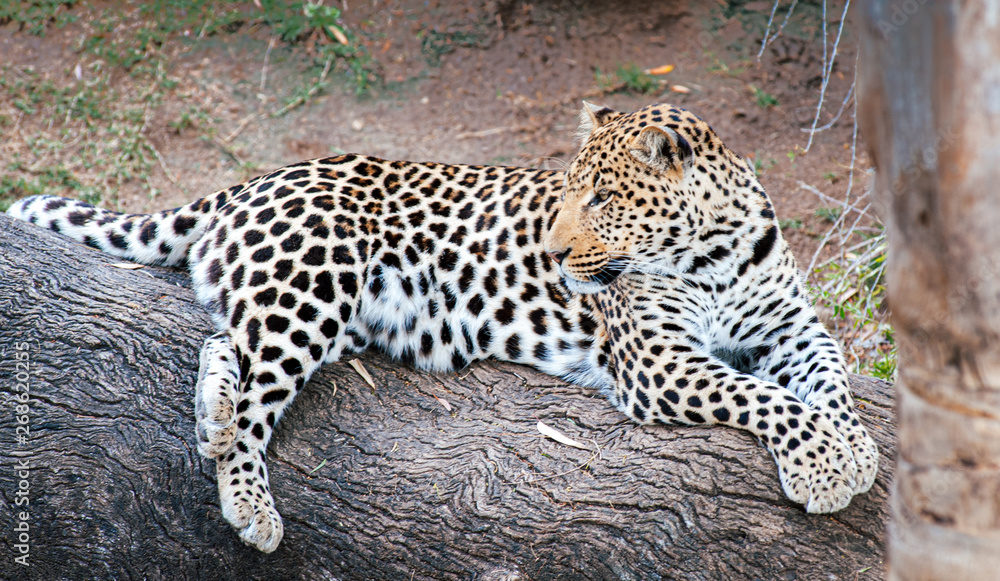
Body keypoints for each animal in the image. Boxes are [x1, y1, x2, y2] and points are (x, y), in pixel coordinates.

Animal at [7, 102, 877, 554]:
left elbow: (828, 378)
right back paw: (247, 497)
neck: (718, 246)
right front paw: (827, 464)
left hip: (322, 314)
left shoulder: (792, 325)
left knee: (225, 342)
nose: (554, 251)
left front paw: (855, 445)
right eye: (568, 193)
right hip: (316, 285)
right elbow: (765, 397)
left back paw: (212, 422)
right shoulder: (661, 361)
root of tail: (248, 182)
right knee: (251, 382)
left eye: (601, 198)